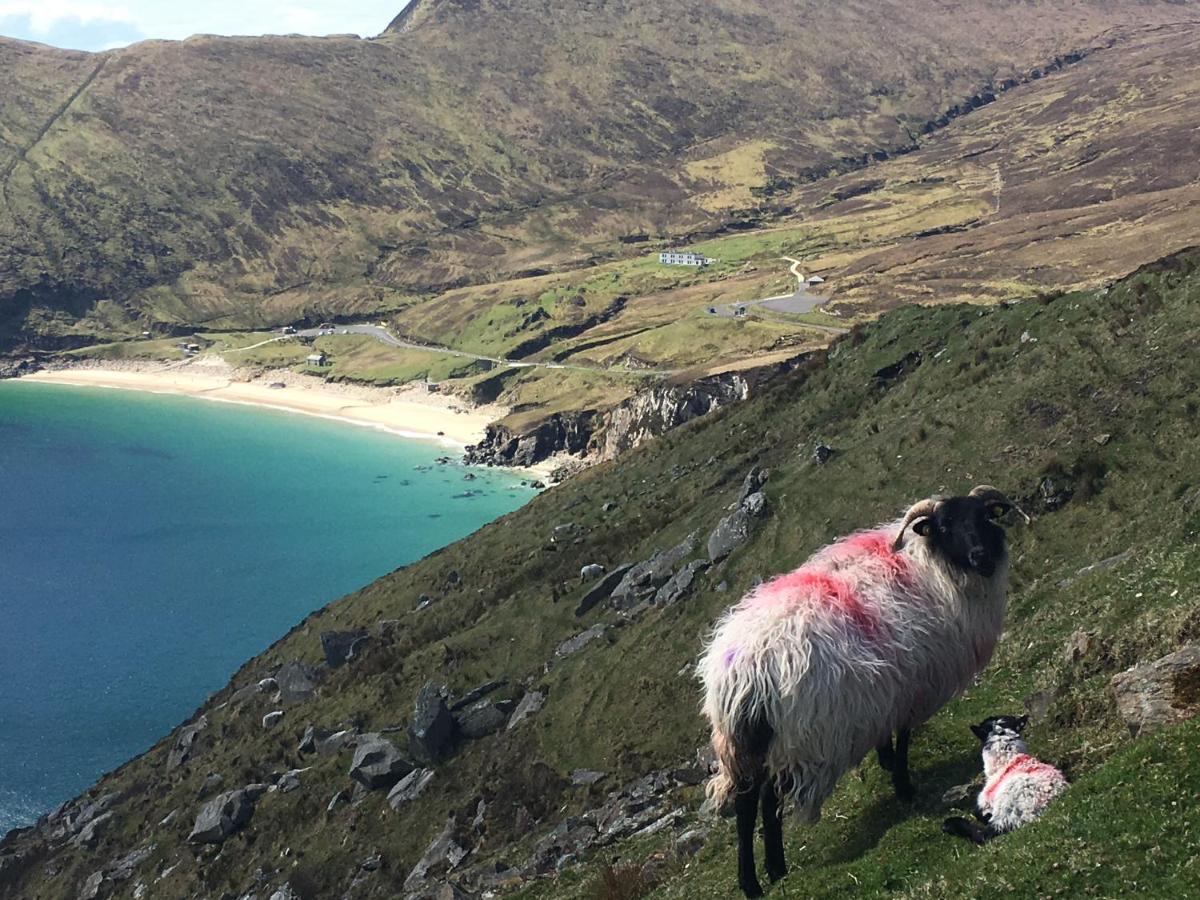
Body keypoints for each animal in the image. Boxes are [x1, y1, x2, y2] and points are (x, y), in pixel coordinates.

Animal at [700, 487, 1027, 897]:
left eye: (984, 517)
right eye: (945, 526)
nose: (980, 556)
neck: (932, 569)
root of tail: (741, 669)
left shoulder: (885, 690)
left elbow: (887, 737)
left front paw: (885, 761)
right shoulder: (911, 686)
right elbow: (903, 740)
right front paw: (904, 786)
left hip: (749, 743)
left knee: (748, 806)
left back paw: (760, 878)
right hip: (791, 737)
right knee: (764, 803)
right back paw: (769, 872)